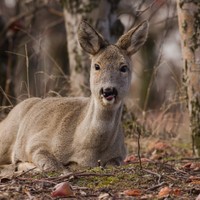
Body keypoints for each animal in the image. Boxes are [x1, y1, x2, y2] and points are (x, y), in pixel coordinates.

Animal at [0, 20, 148, 171]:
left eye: (124, 67)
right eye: (96, 66)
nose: (108, 90)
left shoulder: (120, 154)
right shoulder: (37, 141)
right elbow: (54, 166)